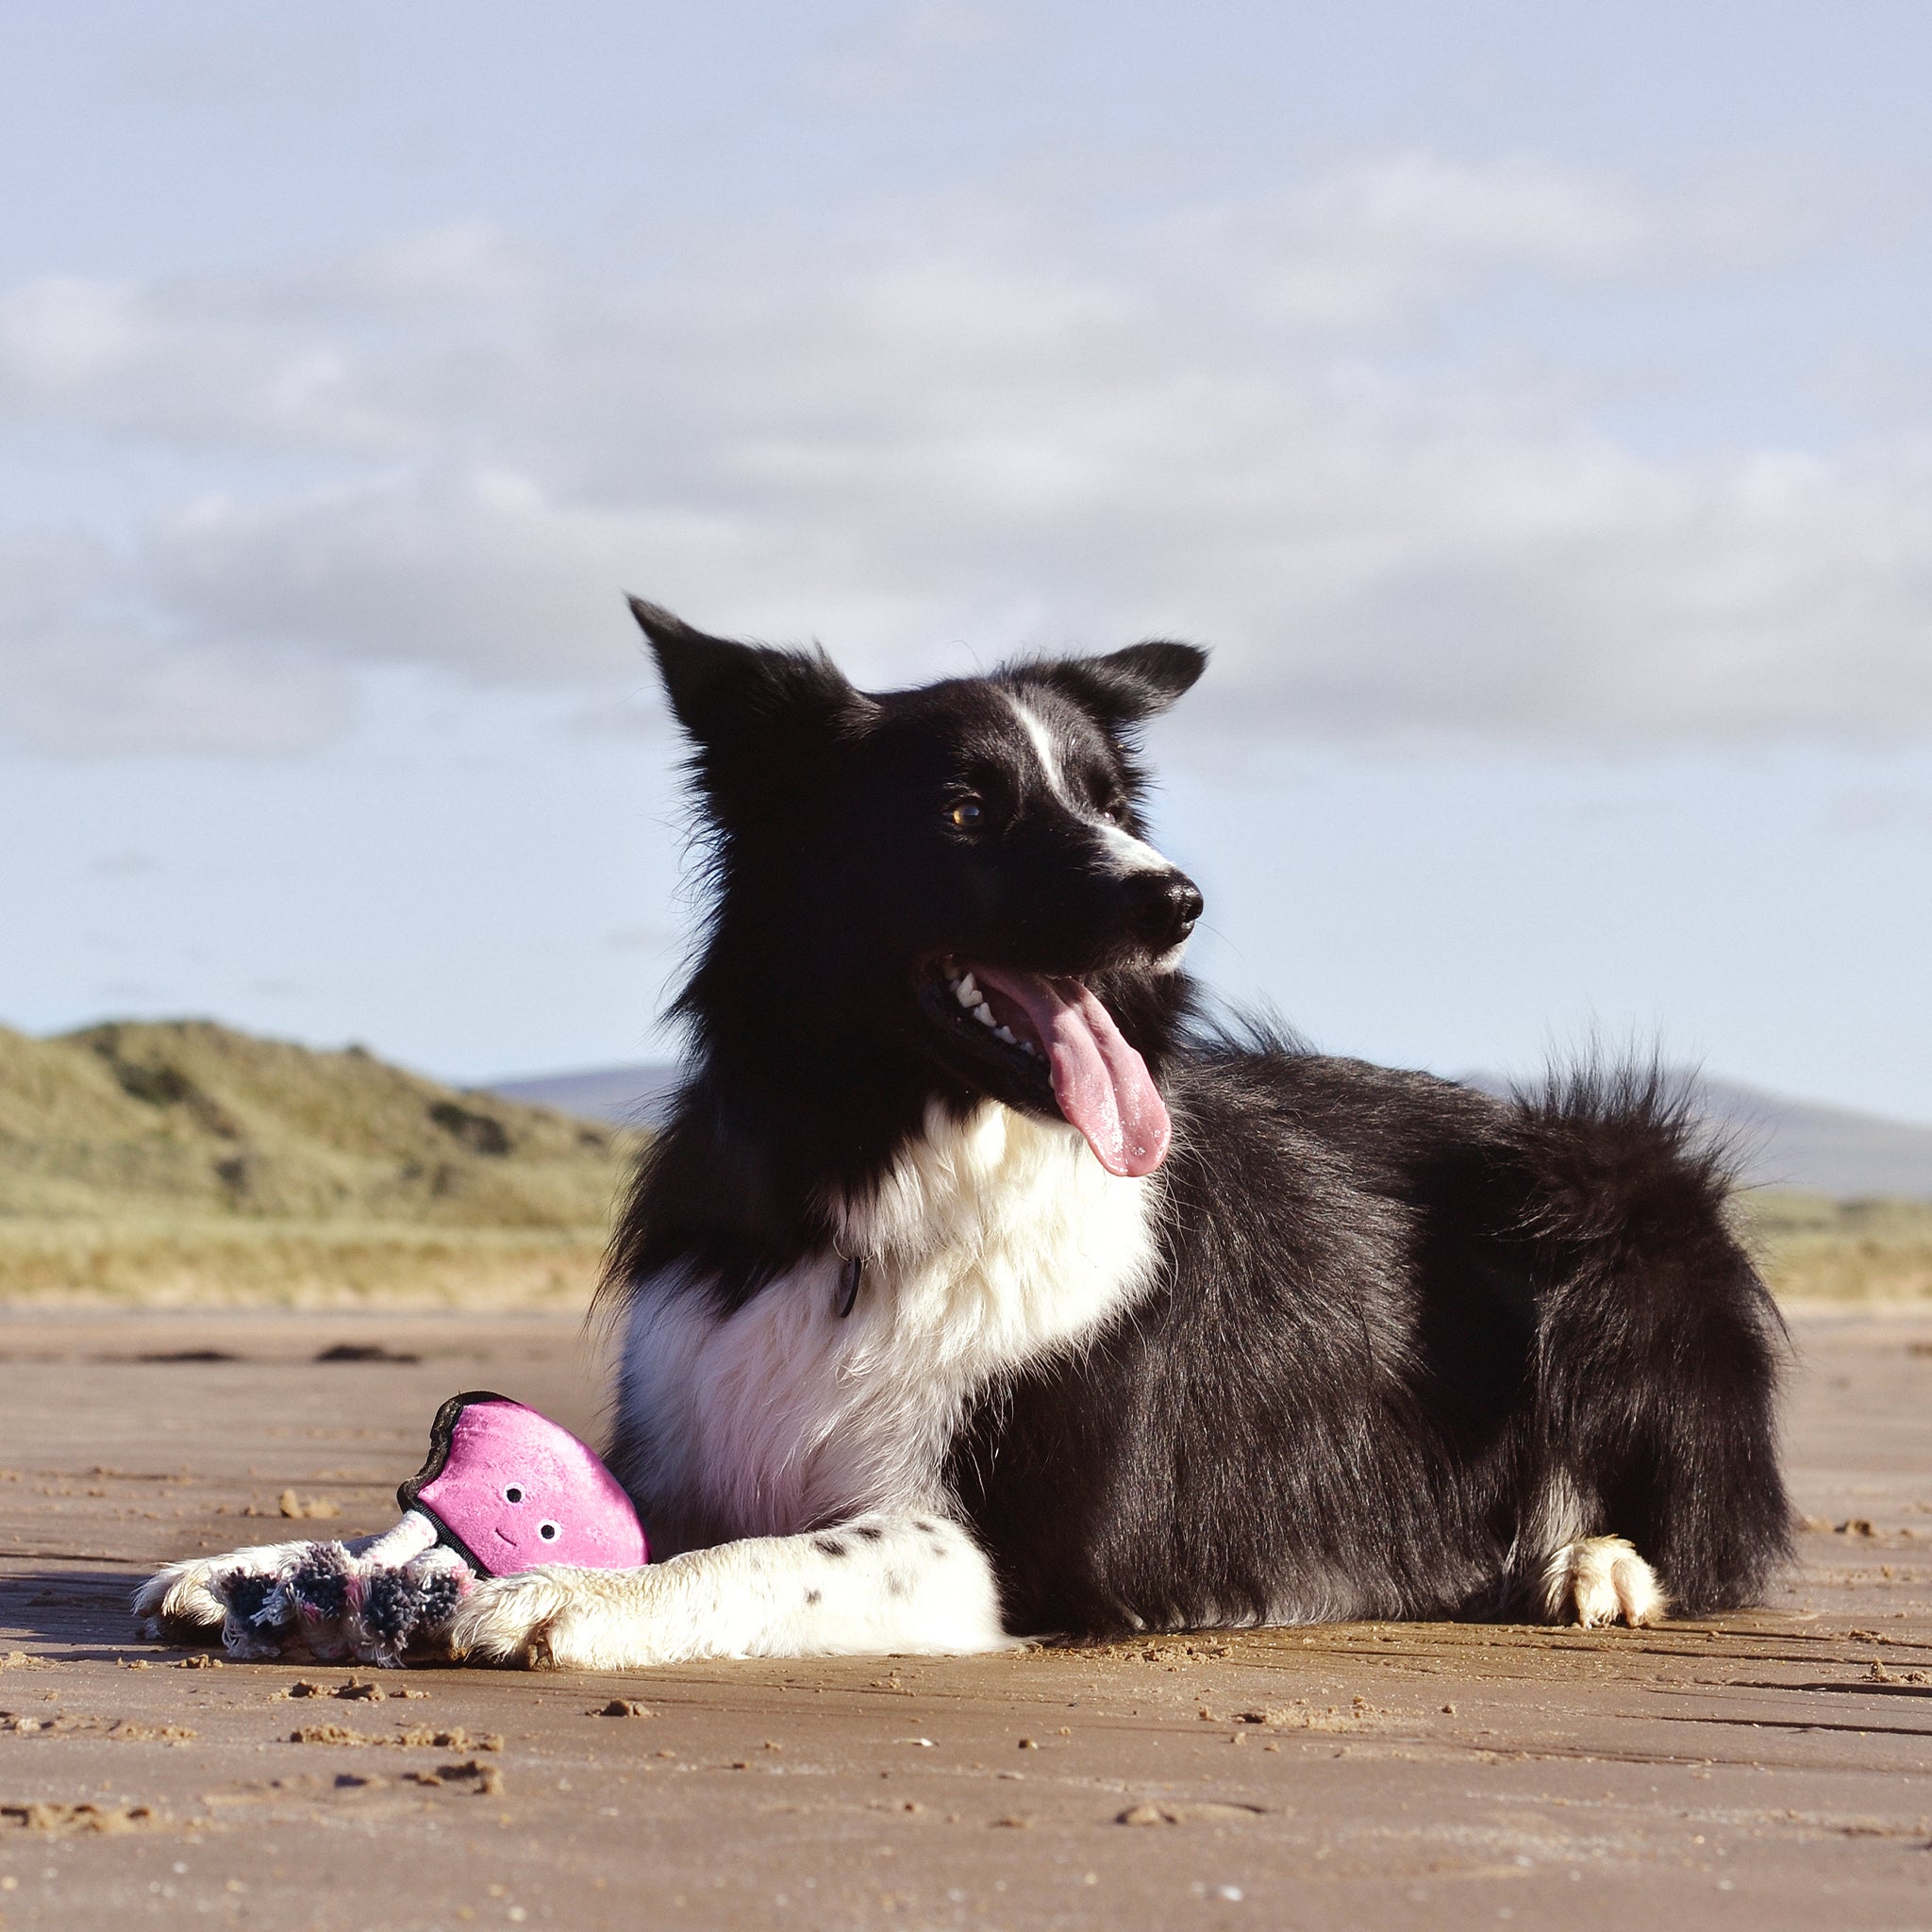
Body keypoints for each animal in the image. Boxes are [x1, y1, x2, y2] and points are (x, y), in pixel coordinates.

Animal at [140, 594, 1792, 1669]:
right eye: (963, 811)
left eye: (1115, 800)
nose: (1176, 897)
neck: (886, 1159)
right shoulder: (704, 1421)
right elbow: (497, 1520)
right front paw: (283, 1564)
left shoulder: (1019, 1550)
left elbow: (784, 1558)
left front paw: (580, 1602)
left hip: (1610, 1187)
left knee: (1720, 1532)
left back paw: (1593, 1561)